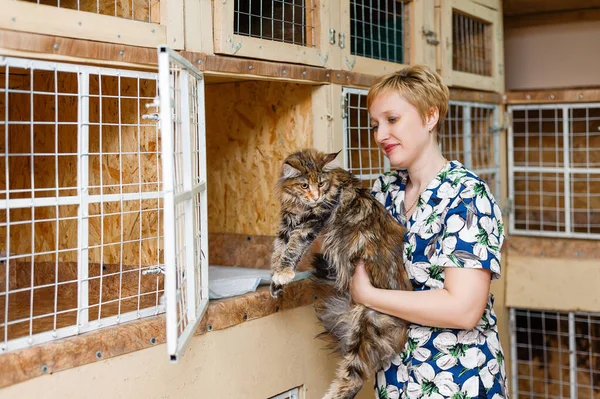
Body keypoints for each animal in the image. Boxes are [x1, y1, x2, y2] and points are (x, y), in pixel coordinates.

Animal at [268, 148, 412, 399]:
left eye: (321, 183)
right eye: (304, 185)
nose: (316, 196)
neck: (300, 204)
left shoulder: (313, 221)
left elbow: (293, 247)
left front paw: (283, 273)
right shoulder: (288, 222)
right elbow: (279, 249)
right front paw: (276, 282)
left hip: (367, 328)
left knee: (353, 379)